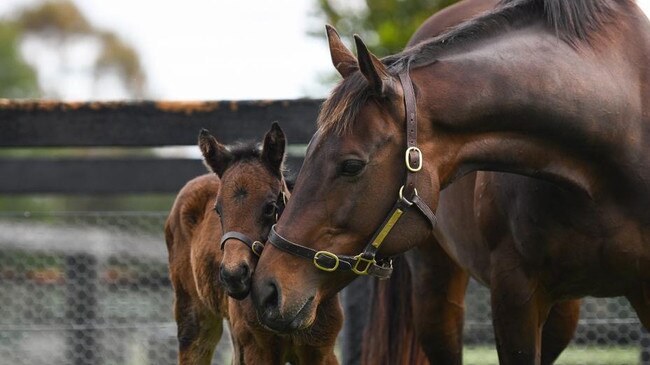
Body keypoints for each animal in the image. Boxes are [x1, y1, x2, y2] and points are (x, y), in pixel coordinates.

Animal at [165, 123, 342, 362]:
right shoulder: (257, 349)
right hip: (194, 317)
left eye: (270, 207)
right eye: (218, 210)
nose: (234, 275)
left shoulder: (320, 350)